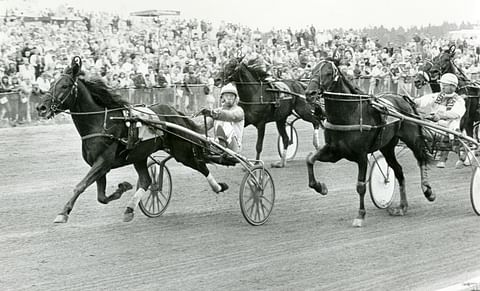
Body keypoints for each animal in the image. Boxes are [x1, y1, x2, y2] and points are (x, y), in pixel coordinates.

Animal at [36, 57, 228, 225]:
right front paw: (123, 187)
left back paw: (219, 187)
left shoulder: (103, 162)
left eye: (64, 86)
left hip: (182, 152)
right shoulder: (99, 165)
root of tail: (173, 111)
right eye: (51, 84)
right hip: (140, 155)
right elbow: (101, 197)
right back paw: (129, 209)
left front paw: (63, 213)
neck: (101, 123)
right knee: (146, 181)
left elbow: (80, 186)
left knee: (201, 166)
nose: (41, 107)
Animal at [306, 58, 436, 228]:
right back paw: (402, 206)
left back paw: (428, 191)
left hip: (412, 138)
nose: (310, 93)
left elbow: (361, 186)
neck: (349, 113)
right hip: (387, 147)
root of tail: (403, 98)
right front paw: (320, 187)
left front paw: (360, 215)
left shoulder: (361, 155)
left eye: (328, 73)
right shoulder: (334, 152)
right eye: (312, 71)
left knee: (421, 159)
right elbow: (310, 159)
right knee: (399, 171)